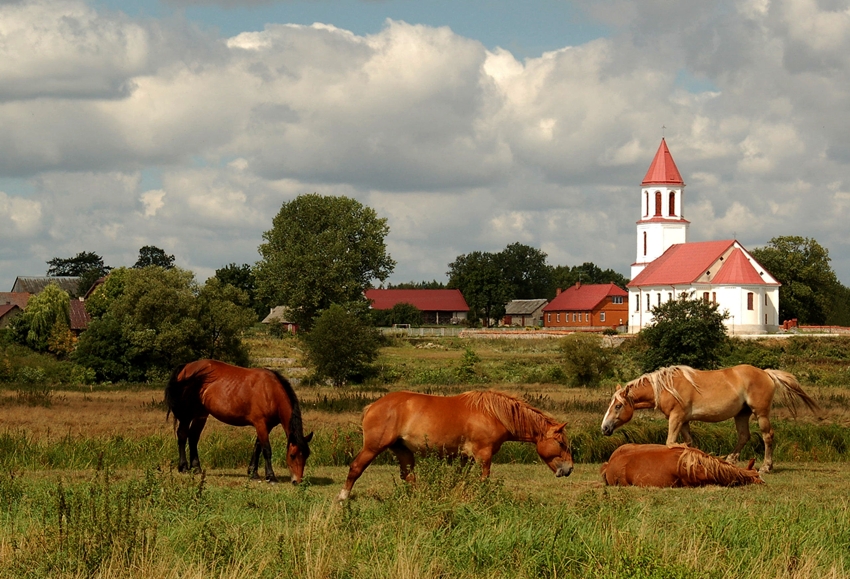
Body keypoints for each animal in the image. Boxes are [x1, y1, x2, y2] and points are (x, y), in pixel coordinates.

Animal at [164, 360, 314, 482]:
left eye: (307, 455)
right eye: (292, 455)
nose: (297, 481)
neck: (270, 391)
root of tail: (186, 367)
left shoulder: (267, 426)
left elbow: (257, 447)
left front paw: (253, 473)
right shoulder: (261, 424)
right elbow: (266, 449)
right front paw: (270, 476)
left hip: (201, 414)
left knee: (193, 437)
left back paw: (196, 468)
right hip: (187, 414)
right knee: (182, 434)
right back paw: (183, 467)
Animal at [334, 392, 572, 500]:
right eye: (560, 442)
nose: (569, 469)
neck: (494, 414)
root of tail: (374, 405)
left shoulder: (465, 458)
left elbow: (460, 479)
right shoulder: (483, 455)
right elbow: (483, 479)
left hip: (403, 451)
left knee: (408, 477)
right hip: (372, 448)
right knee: (356, 468)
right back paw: (343, 498)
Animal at [596, 364, 816, 474]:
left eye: (617, 406)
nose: (604, 428)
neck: (667, 386)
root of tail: (767, 373)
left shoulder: (676, 417)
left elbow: (670, 443)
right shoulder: (684, 421)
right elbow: (688, 444)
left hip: (760, 413)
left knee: (767, 436)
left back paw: (766, 466)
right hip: (741, 414)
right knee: (744, 436)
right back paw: (730, 460)